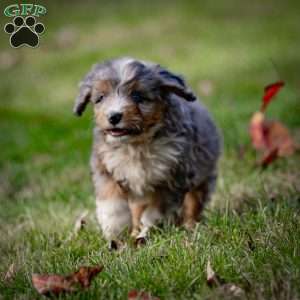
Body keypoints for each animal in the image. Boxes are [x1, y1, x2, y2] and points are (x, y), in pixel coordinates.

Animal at [74, 56, 221, 244]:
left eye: (137, 96)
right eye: (100, 98)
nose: (114, 116)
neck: (136, 145)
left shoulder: (171, 177)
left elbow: (155, 210)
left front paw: (147, 230)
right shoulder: (105, 167)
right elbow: (112, 205)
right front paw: (116, 233)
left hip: (202, 177)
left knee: (194, 202)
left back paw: (190, 226)